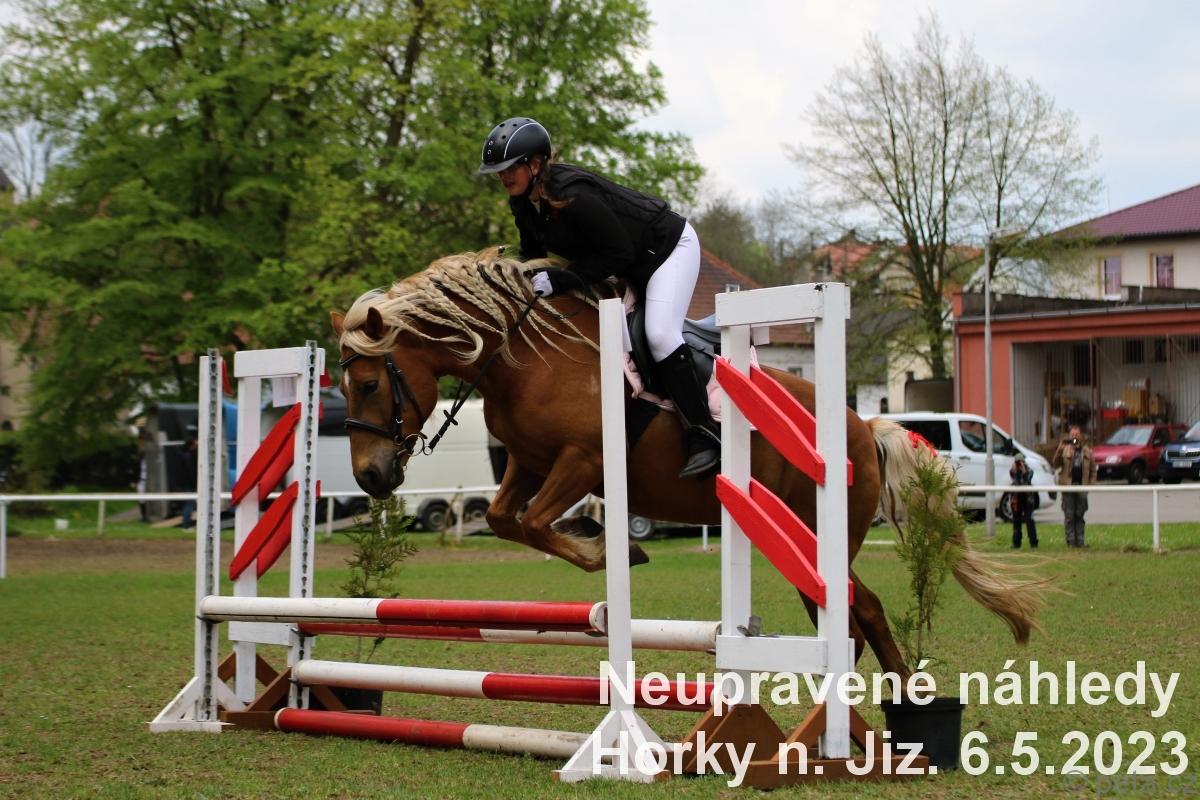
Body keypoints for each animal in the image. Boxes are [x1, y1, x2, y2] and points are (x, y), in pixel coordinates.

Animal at [330, 247, 1047, 679]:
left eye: (365, 385)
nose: (369, 478)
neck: (525, 356)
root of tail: (860, 424)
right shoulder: (528, 466)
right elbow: (510, 520)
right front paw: (601, 543)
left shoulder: (583, 461)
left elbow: (534, 523)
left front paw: (610, 551)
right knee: (845, 613)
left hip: (819, 535)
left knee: (859, 609)